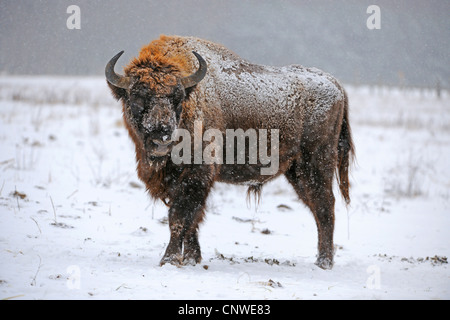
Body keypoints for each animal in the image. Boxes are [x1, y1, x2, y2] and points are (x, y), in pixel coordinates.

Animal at [106, 35, 356, 270]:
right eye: (137, 98)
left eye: (177, 98)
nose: (161, 135)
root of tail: (337, 86)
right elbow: (192, 219)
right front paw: (192, 258)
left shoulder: (196, 176)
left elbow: (180, 216)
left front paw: (170, 259)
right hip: (296, 171)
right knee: (318, 206)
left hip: (315, 164)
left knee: (324, 206)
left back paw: (324, 262)